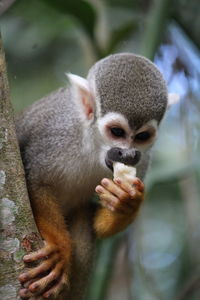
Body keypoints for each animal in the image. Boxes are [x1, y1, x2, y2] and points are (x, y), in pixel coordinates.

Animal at [14, 53, 176, 298]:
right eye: (117, 132)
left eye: (142, 136)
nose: (127, 154)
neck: (93, 146)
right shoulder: (55, 134)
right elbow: (35, 183)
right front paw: (59, 247)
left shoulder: (144, 159)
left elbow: (97, 224)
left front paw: (125, 204)